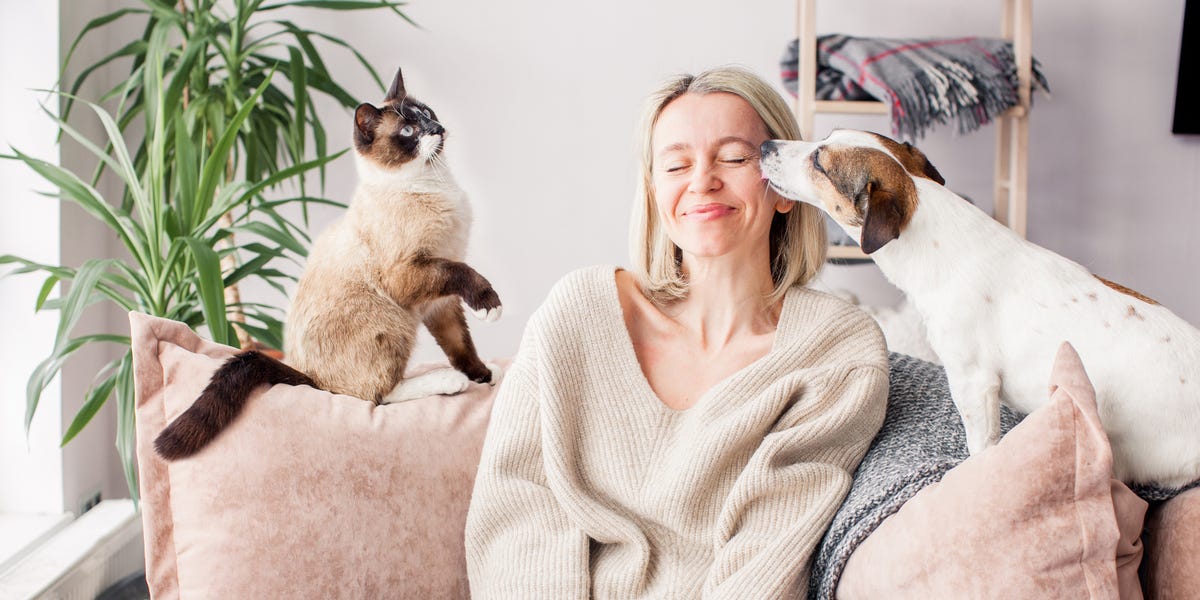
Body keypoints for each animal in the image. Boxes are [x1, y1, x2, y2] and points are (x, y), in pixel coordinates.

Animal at [154, 66, 501, 458]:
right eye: (408, 132)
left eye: (427, 113)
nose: (437, 129)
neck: (434, 184)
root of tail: (310, 380)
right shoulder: (414, 273)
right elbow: (464, 275)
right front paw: (489, 307)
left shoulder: (440, 302)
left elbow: (461, 345)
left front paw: (484, 376)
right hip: (392, 319)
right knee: (375, 395)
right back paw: (448, 382)